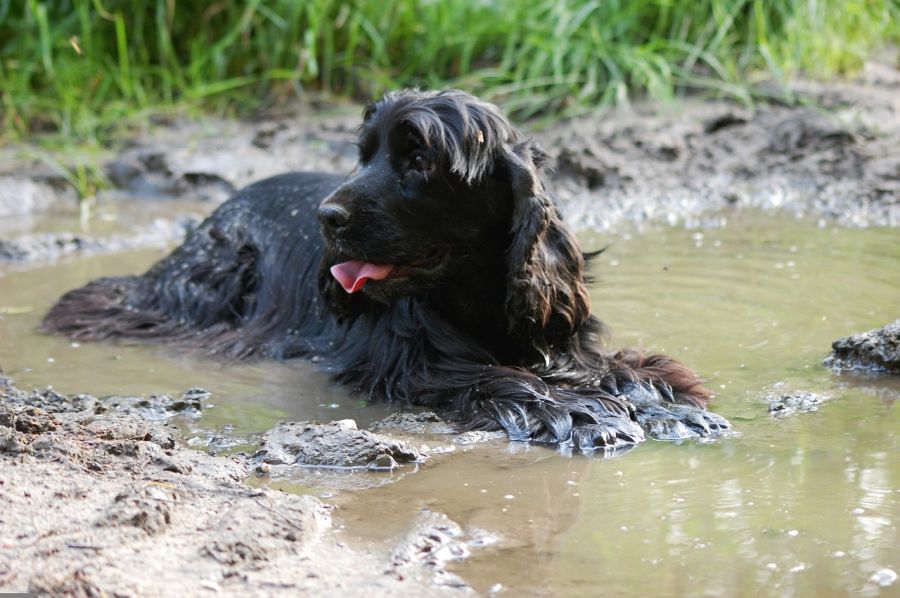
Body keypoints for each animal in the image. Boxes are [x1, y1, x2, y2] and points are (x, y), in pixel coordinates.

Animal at [44, 90, 732, 454]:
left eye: (419, 158)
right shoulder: (413, 362)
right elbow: (500, 379)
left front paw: (668, 406)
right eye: (363, 154)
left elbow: (616, 369)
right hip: (217, 272)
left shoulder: (554, 334)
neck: (471, 295)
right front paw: (584, 415)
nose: (326, 217)